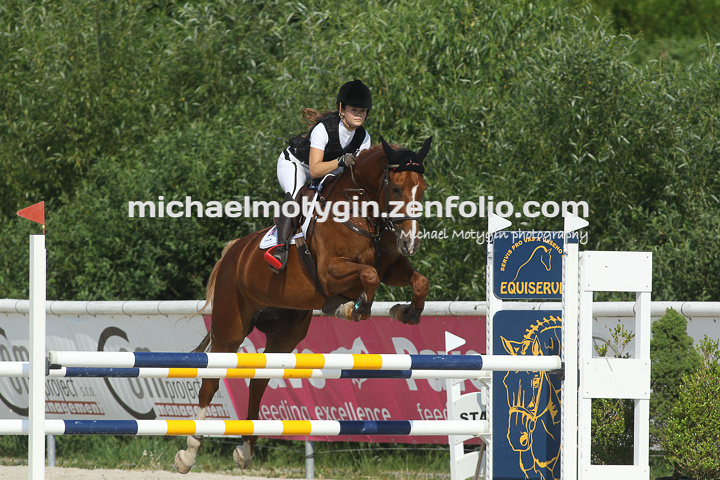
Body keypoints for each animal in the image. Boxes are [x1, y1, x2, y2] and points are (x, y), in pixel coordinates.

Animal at [175, 136, 432, 474]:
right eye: (398, 188)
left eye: (422, 188)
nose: (411, 243)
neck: (359, 214)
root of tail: (232, 253)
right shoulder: (330, 272)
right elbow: (369, 275)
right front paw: (355, 308)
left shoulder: (392, 266)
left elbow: (418, 281)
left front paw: (407, 311)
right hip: (230, 329)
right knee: (210, 382)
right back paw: (189, 453)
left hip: (285, 333)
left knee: (258, 382)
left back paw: (245, 449)